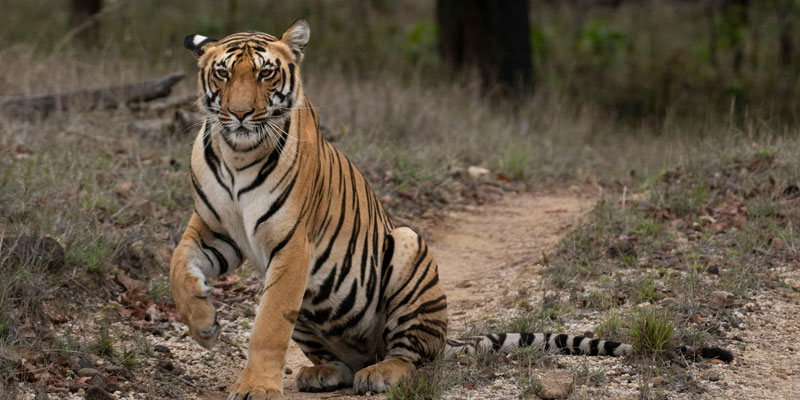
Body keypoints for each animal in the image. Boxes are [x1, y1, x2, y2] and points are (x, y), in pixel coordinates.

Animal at [170, 20, 733, 399]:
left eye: (266, 75)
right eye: (223, 75)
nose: (241, 114)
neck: (238, 153)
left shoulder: (292, 247)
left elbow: (268, 325)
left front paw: (255, 385)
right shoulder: (214, 231)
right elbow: (178, 267)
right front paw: (204, 324)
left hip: (408, 249)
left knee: (412, 355)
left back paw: (381, 374)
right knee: (342, 359)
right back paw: (321, 372)